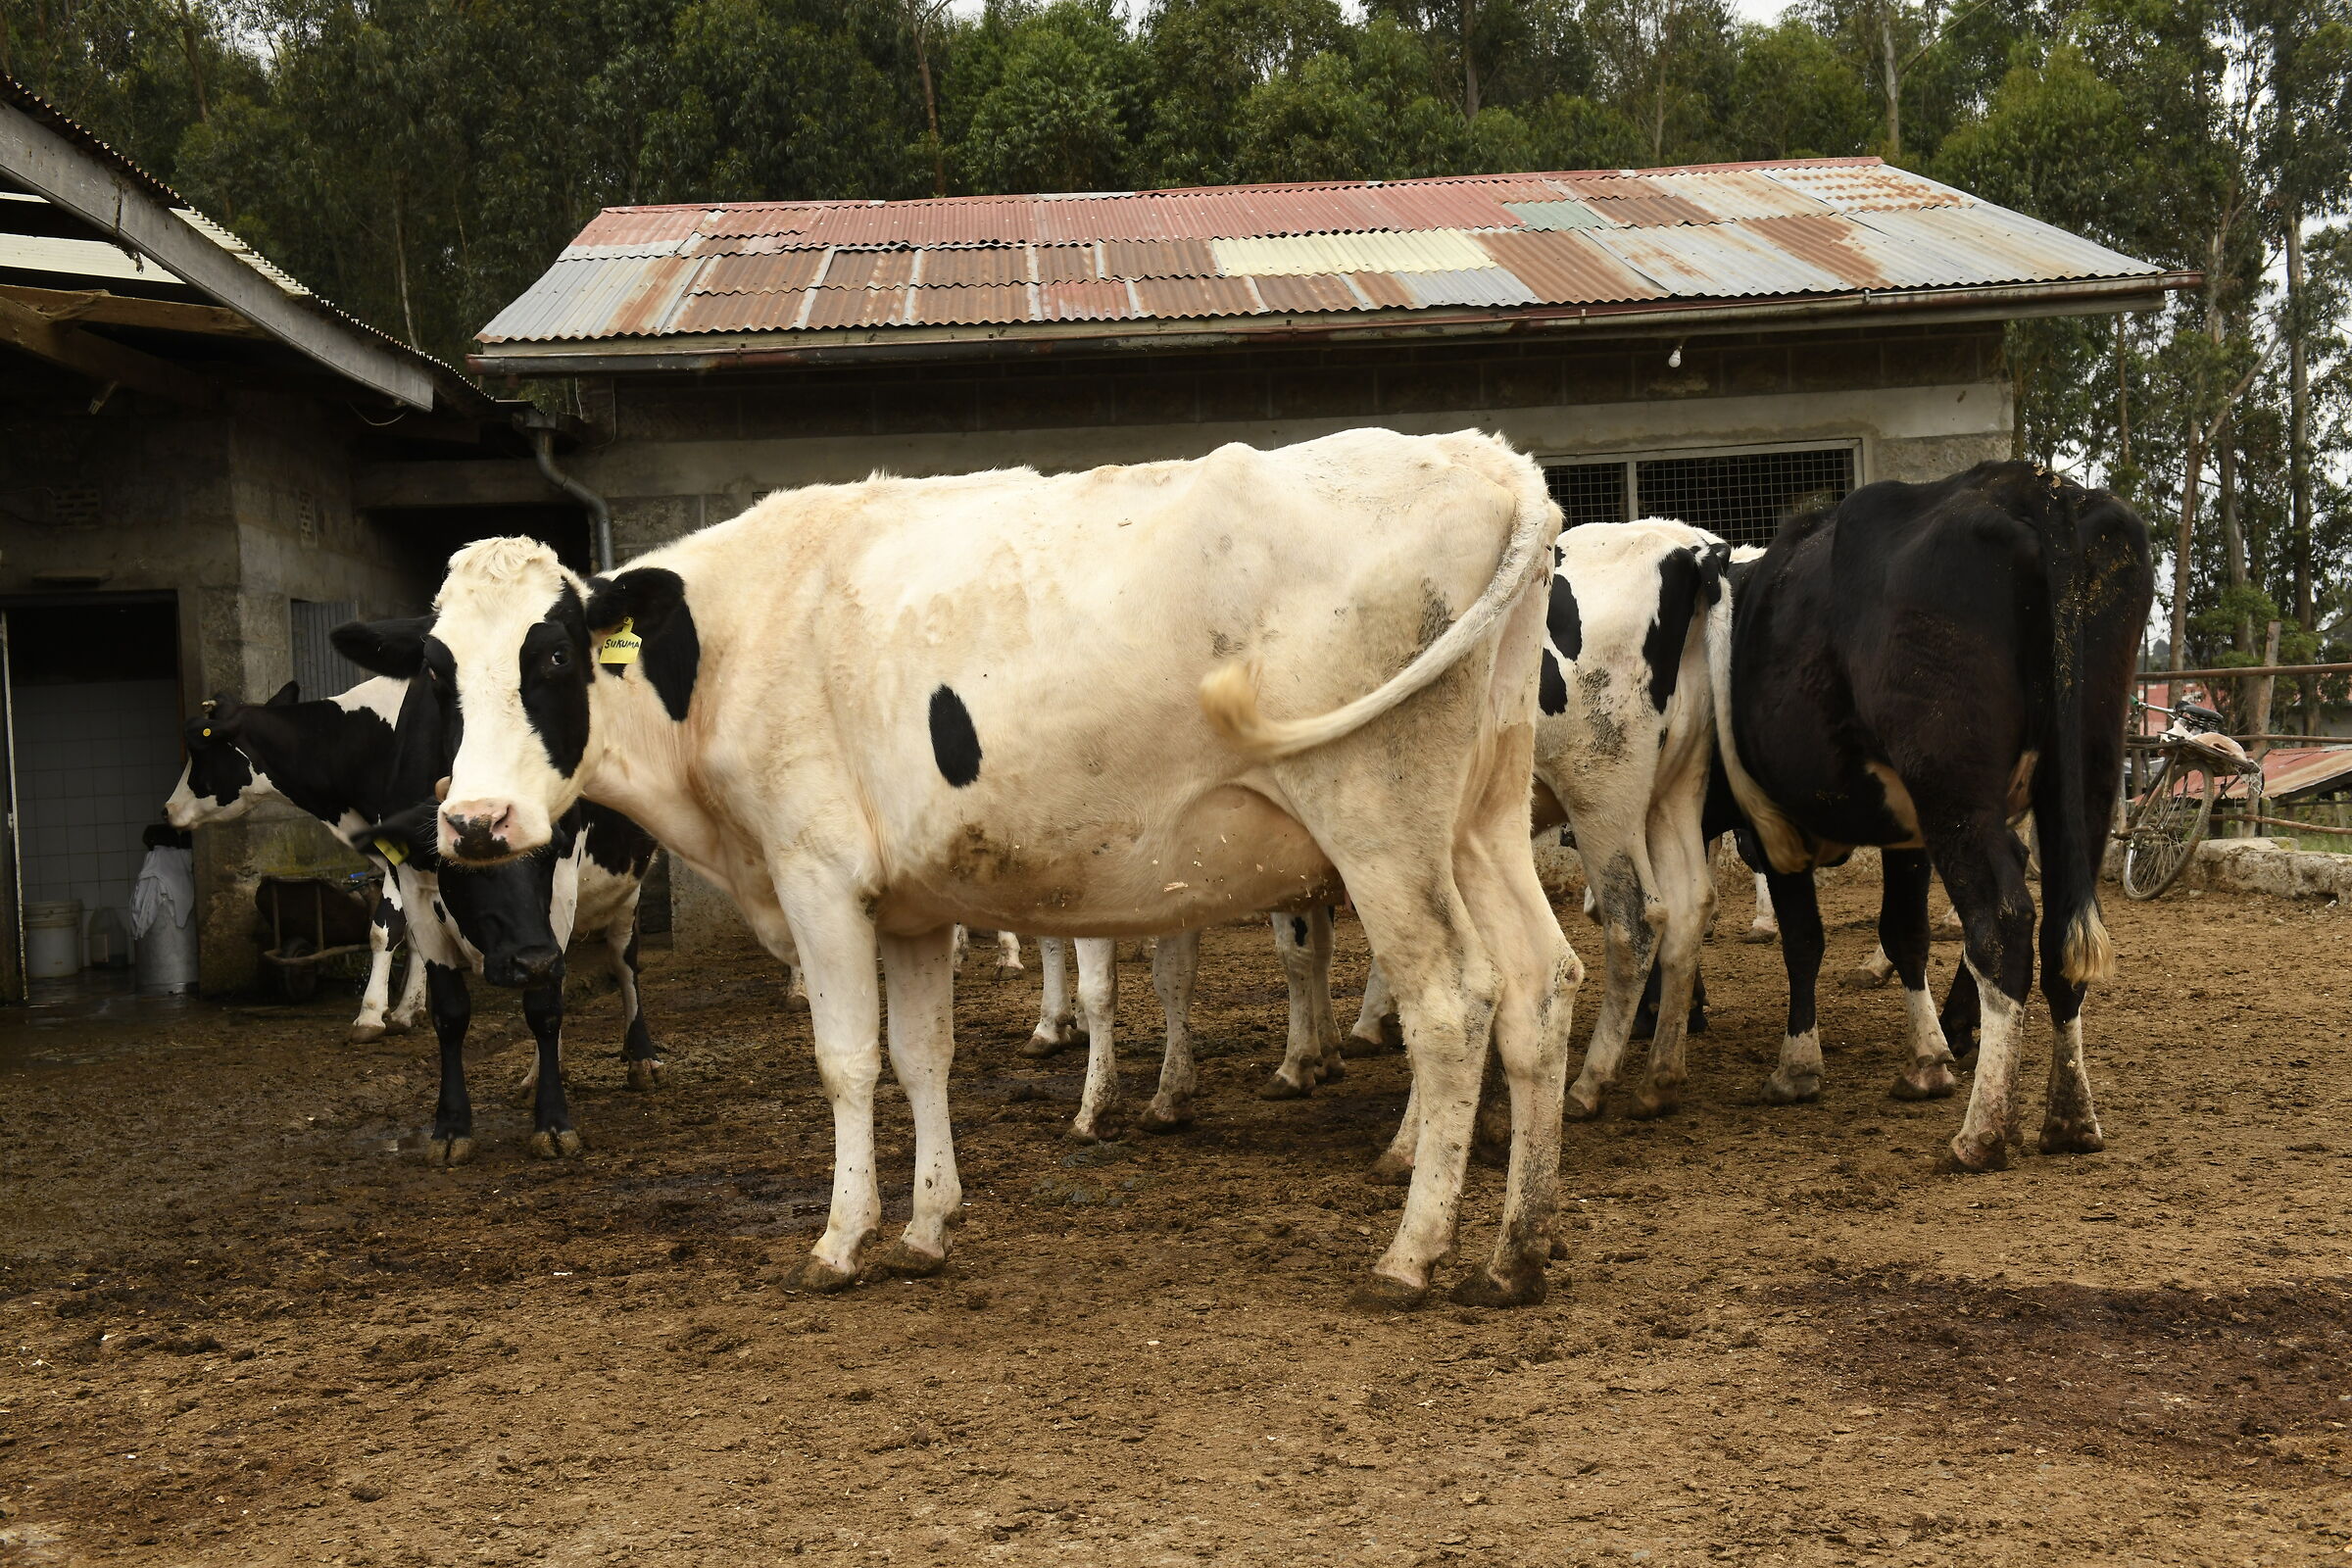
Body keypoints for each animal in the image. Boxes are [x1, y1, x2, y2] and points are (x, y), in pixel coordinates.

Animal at [161, 678, 665, 1159]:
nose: (168, 811)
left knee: (623, 960)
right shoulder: (404, 859)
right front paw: (407, 1009)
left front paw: (371, 1015)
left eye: (200, 750)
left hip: (630, 882)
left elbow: (383, 929)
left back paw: (640, 1057)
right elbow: (419, 944)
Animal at [334, 428, 1578, 1310]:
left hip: (1381, 819)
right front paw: (929, 1227)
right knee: (1541, 983)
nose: (477, 821)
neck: (739, 630)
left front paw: (842, 1238)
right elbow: (920, 1055)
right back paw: (1518, 1251)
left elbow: (846, 1062)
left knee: (1451, 1002)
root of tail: (1493, 461)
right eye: (438, 669)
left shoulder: (819, 877)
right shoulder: (911, 907)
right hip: (1482, 819)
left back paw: (1413, 1253)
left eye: (552, 656)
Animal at [1716, 462, 2151, 1169]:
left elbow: (1804, 939)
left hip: (1951, 781)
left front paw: (1796, 1068)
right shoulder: (1908, 833)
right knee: (2062, 932)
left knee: (2001, 922)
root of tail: (2031, 486)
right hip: (2087, 769)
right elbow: (1905, 931)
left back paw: (1983, 1133)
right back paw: (2068, 1119)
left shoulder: (1776, 826)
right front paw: (1926, 1060)